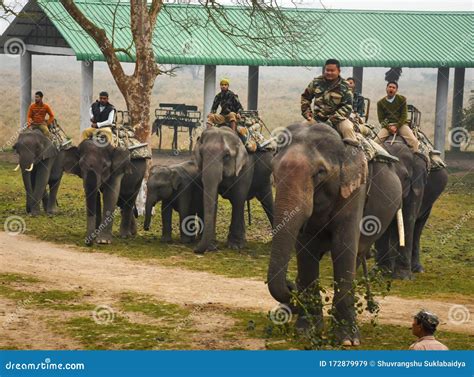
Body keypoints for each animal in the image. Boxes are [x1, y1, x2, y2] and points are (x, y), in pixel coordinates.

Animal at [268, 122, 402, 344]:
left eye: (320, 172)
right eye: (273, 171)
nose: (291, 286)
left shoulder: (355, 190)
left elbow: (343, 248)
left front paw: (346, 340)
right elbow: (305, 251)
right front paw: (306, 332)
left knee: (355, 257)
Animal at [376, 137, 446, 278]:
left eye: (406, 177)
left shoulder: (418, 183)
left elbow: (408, 218)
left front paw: (402, 277)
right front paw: (383, 271)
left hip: (429, 204)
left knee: (418, 228)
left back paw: (417, 269)